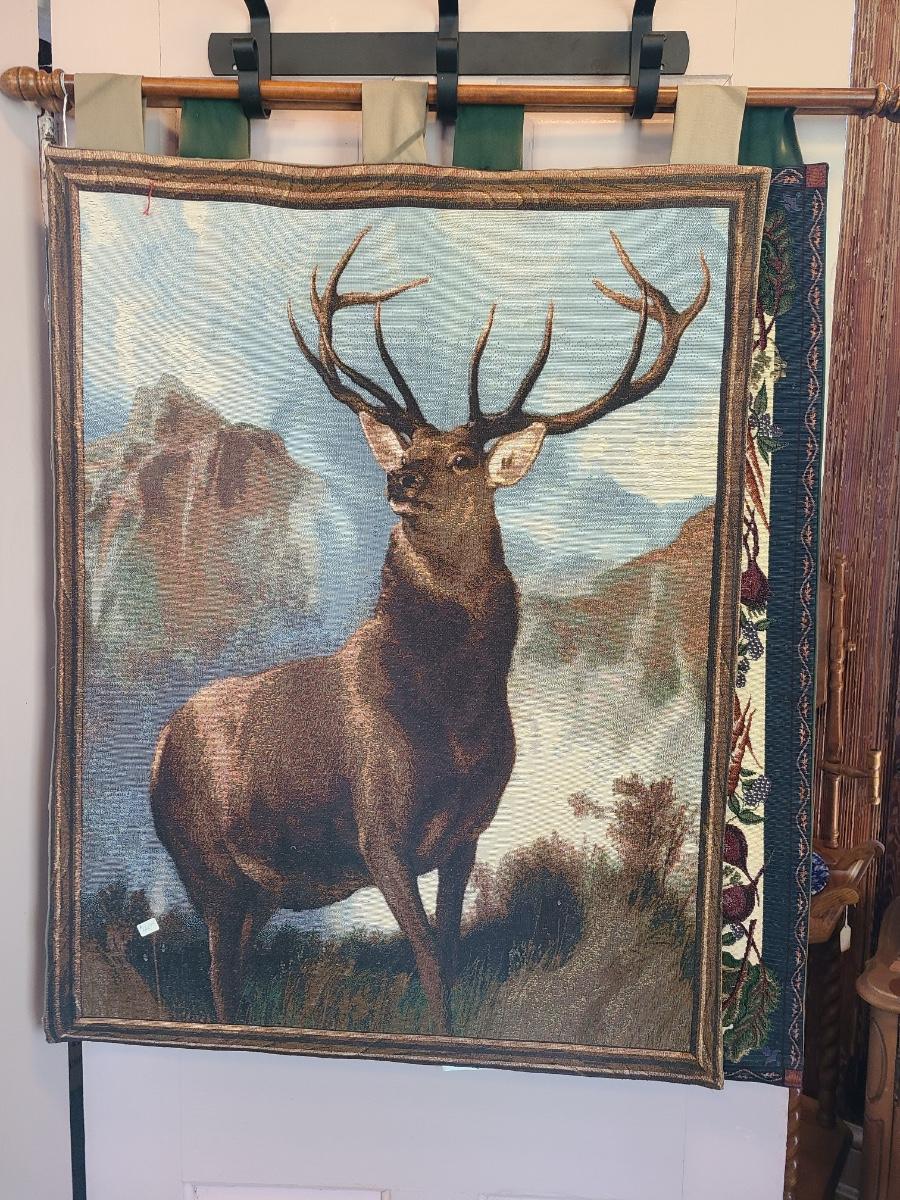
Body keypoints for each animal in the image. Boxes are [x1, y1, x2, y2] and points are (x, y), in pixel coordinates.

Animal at [149, 227, 710, 1032]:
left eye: (464, 457)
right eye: (411, 451)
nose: (400, 478)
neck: (454, 718)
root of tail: (157, 750)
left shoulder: (466, 833)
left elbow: (445, 947)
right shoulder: (378, 832)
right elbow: (425, 959)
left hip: (256, 889)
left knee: (234, 972)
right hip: (205, 864)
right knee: (218, 975)